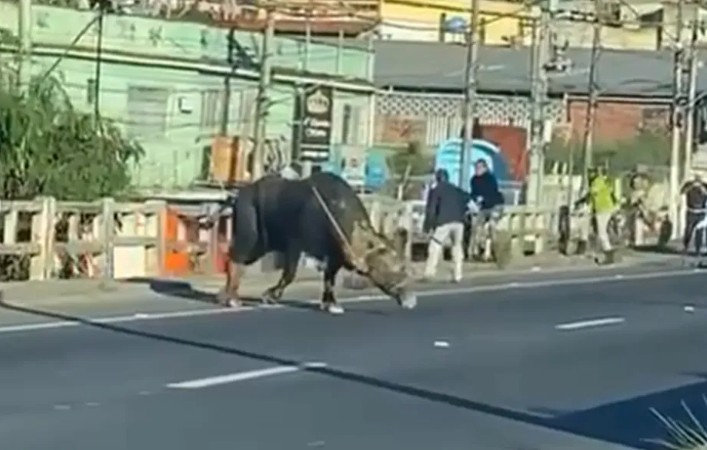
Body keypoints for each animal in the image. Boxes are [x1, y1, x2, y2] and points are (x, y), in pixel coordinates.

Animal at [216, 171, 414, 314]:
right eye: (388, 271)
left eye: (403, 267)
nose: (410, 299)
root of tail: (238, 196)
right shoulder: (295, 245)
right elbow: (290, 274)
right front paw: (271, 295)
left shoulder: (334, 257)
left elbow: (329, 280)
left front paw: (331, 304)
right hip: (249, 235)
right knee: (235, 256)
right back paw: (231, 298)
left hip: (262, 244)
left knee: (238, 260)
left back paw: (227, 295)